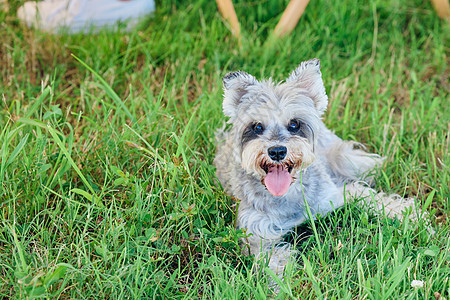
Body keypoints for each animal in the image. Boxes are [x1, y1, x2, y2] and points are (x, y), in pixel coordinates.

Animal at [214, 59, 418, 276]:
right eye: (257, 127)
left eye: (294, 124)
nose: (277, 151)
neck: (288, 195)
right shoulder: (256, 237)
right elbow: (272, 266)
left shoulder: (338, 193)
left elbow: (375, 199)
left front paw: (410, 215)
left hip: (344, 159)